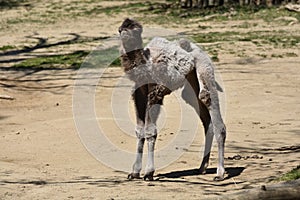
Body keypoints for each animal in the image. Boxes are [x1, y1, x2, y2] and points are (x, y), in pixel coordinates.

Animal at [118, 18, 226, 181]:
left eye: (137, 30)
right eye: (121, 28)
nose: (124, 35)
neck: (146, 64)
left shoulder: (155, 92)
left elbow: (150, 131)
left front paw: (149, 173)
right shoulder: (139, 92)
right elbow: (139, 130)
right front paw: (134, 172)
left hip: (204, 69)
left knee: (208, 100)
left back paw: (220, 173)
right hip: (190, 82)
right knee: (204, 116)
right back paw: (202, 167)